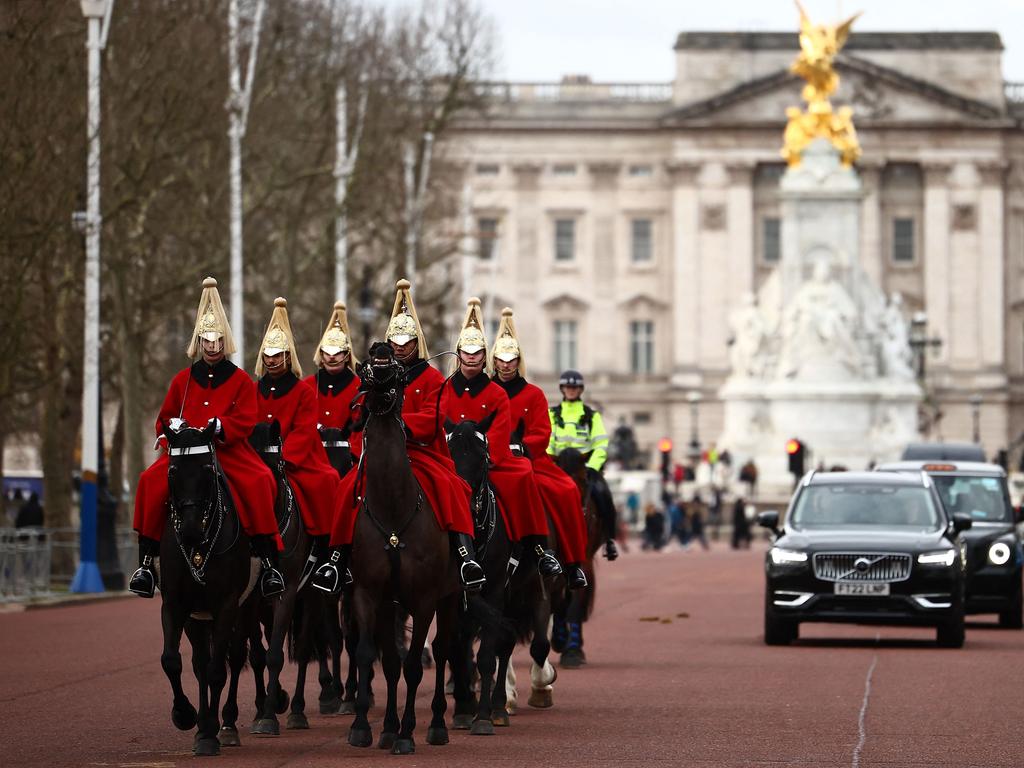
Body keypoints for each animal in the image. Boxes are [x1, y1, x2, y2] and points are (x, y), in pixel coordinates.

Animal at [348, 344, 456, 757]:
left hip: (450, 597)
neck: (393, 511)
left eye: (395, 372)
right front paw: (366, 727)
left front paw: (408, 733)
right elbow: (375, 657)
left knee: (442, 650)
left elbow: (413, 664)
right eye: (365, 368)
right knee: (392, 659)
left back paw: (437, 724)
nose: (380, 349)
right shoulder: (369, 594)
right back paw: (389, 726)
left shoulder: (424, 599)